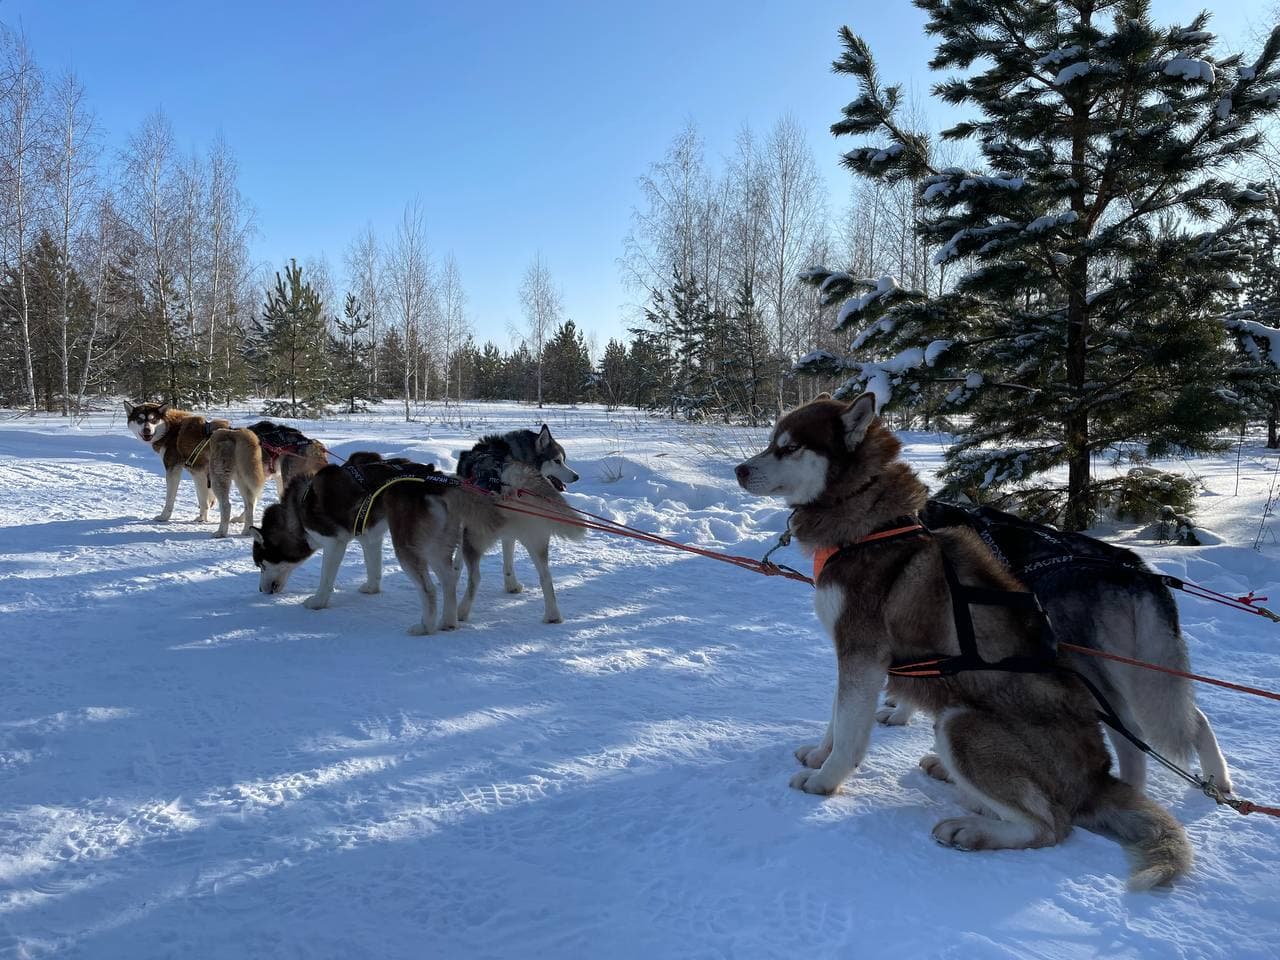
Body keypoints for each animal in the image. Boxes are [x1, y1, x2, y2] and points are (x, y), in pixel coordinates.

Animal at [737, 394, 1192, 890]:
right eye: (771, 441)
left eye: (789, 447)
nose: (739, 469)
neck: (873, 524)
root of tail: (1096, 777)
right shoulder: (851, 656)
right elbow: (835, 718)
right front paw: (820, 755)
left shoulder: (862, 653)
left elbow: (850, 731)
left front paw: (826, 779)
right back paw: (958, 788)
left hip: (961, 723)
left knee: (1050, 825)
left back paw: (971, 829)